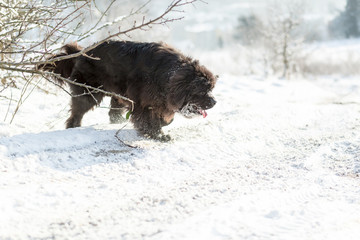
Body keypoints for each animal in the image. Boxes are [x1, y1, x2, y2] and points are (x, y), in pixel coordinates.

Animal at [39, 39, 217, 141]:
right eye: (202, 90)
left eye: (211, 89)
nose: (214, 101)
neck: (167, 74)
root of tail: (80, 52)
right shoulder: (143, 103)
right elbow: (148, 120)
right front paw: (158, 135)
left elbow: (164, 117)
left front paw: (162, 124)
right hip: (89, 93)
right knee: (77, 112)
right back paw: (74, 126)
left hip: (117, 91)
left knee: (113, 111)